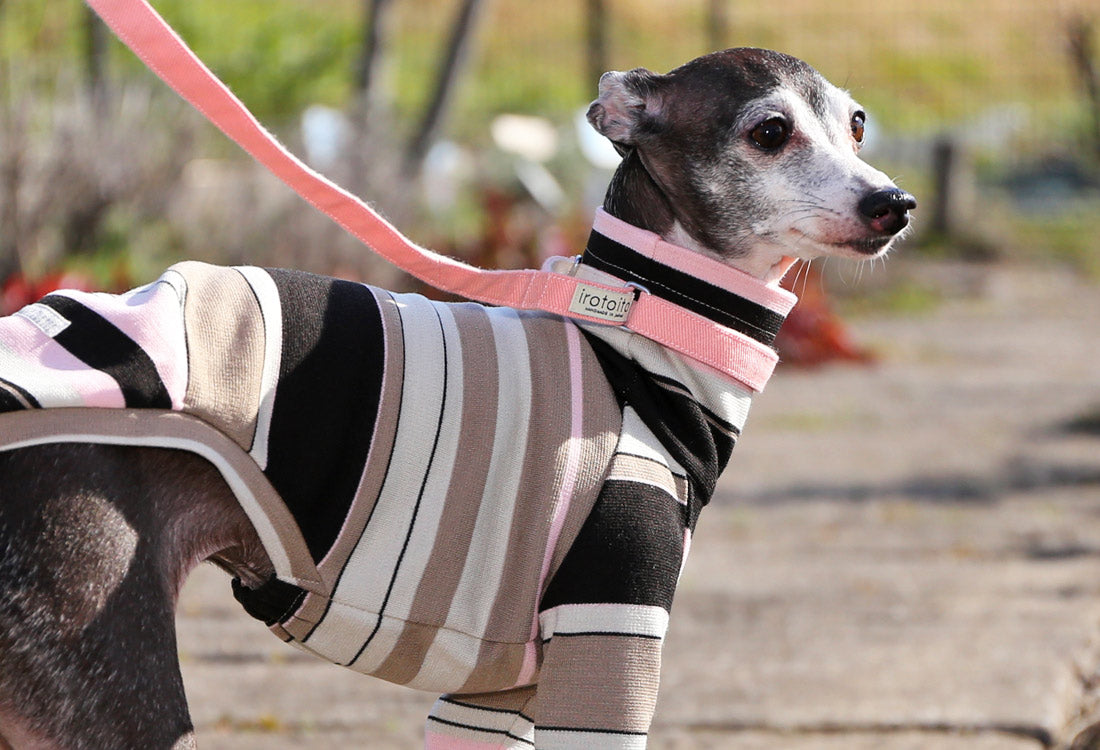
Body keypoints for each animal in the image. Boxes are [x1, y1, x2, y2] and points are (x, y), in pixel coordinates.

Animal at [0, 49, 910, 743]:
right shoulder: (610, 635)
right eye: (770, 131)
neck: (639, 329)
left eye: (858, 124)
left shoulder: (493, 693)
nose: (893, 204)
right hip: (114, 668)